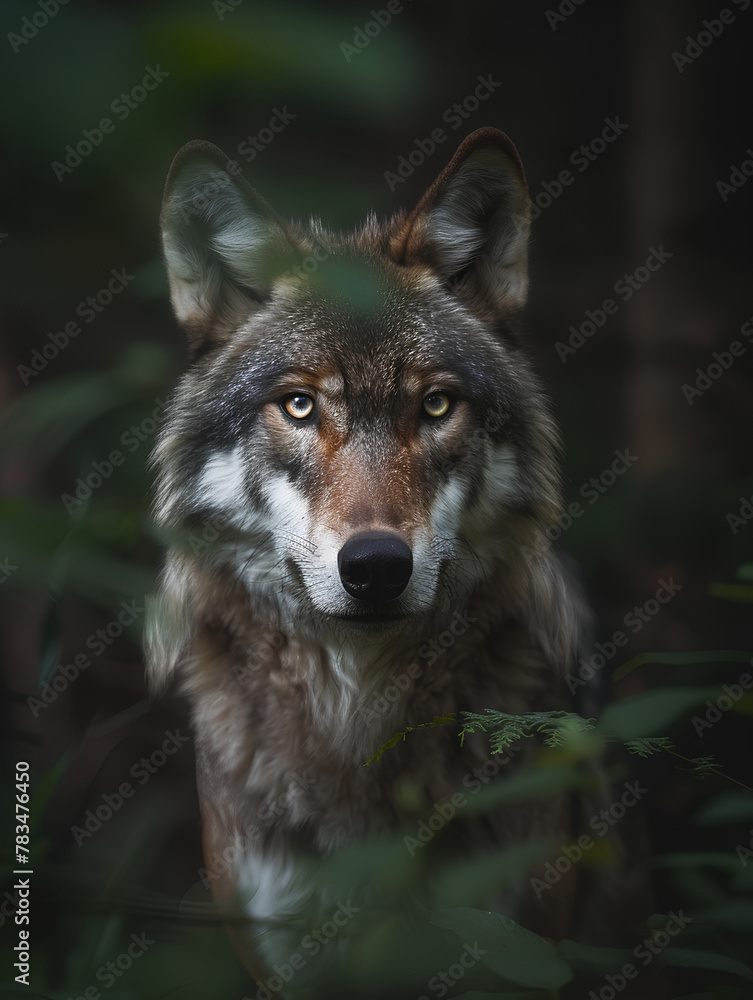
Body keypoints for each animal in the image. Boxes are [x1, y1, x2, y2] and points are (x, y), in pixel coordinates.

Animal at [147, 128, 592, 996]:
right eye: (298, 405)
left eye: (435, 405)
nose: (377, 565)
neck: (356, 718)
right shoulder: (280, 955)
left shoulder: (521, 946)